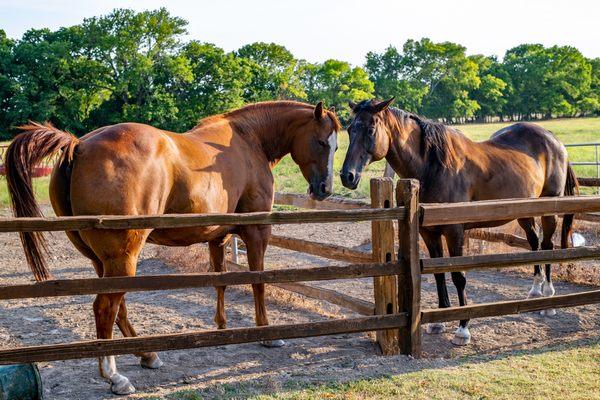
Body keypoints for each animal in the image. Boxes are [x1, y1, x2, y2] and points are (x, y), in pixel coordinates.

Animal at [4, 100, 340, 394]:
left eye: (337, 145)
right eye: (322, 142)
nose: (325, 189)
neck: (248, 140)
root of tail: (79, 145)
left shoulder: (217, 237)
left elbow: (221, 281)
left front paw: (222, 326)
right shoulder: (257, 232)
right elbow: (258, 282)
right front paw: (267, 334)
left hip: (103, 261)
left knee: (117, 308)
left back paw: (146, 355)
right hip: (123, 257)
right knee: (105, 308)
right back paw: (114, 376)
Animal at [340, 97, 580, 346]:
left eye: (371, 129)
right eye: (349, 129)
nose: (347, 176)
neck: (433, 166)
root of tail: (554, 140)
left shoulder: (454, 232)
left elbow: (458, 277)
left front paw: (462, 328)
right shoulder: (429, 233)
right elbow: (438, 274)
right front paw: (438, 321)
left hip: (549, 210)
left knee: (548, 246)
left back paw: (548, 298)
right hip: (525, 212)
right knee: (534, 245)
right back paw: (535, 292)